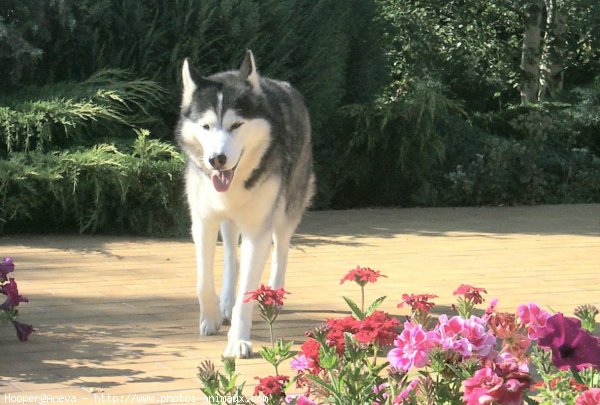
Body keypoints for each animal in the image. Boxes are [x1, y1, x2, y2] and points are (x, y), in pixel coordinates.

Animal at [175, 50, 314, 356]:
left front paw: (238, 340)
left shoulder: (257, 231)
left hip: (287, 209)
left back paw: (274, 295)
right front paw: (212, 317)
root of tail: (283, 84)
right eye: (206, 126)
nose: (216, 160)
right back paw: (226, 300)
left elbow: (247, 294)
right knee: (230, 255)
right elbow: (203, 282)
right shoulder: (202, 222)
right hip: (228, 220)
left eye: (236, 125)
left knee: (281, 250)